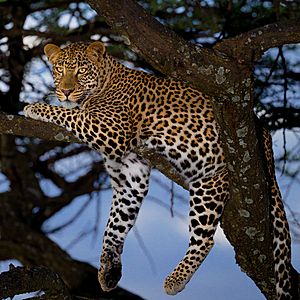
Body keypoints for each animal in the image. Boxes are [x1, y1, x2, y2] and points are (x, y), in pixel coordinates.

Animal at [22, 41, 292, 298]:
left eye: (80, 71)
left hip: (210, 183)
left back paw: (175, 280)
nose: (66, 91)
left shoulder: (110, 129)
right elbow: (114, 225)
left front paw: (34, 107)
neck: (104, 80)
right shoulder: (130, 176)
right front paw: (108, 269)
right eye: (59, 70)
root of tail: (264, 137)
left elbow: (70, 114)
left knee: (205, 238)